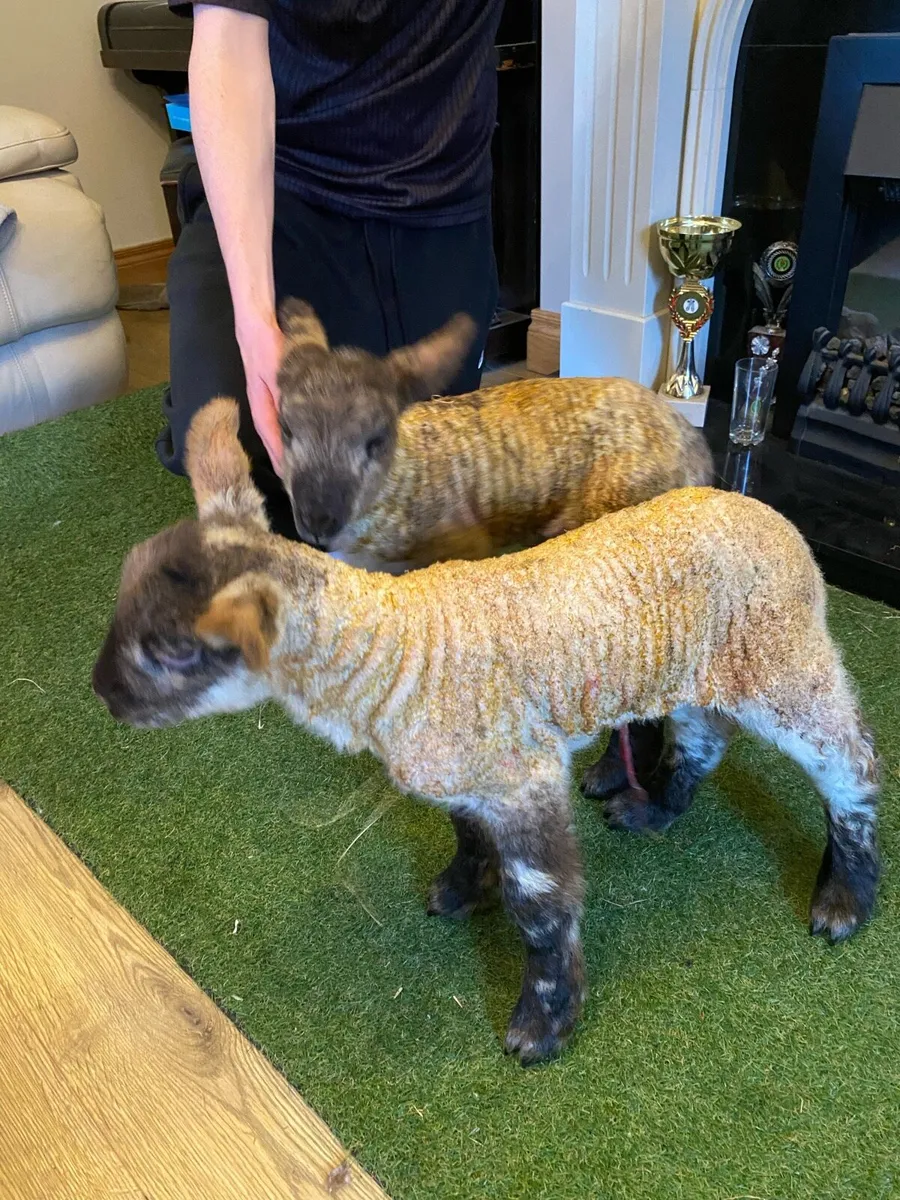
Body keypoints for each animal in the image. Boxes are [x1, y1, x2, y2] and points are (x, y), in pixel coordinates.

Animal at [93, 399, 880, 1065]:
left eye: (174, 652)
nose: (101, 692)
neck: (397, 648)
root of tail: (773, 520)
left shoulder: (521, 774)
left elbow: (542, 907)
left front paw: (543, 1025)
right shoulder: (472, 770)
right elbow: (465, 833)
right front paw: (461, 888)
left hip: (786, 658)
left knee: (853, 762)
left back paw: (845, 900)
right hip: (698, 664)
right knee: (703, 734)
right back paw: (652, 807)